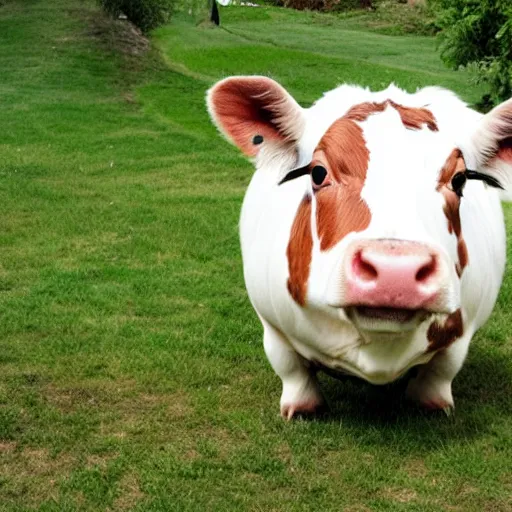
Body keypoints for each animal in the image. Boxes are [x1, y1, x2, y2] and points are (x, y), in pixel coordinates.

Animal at [205, 77, 512, 420]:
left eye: (459, 180)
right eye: (318, 172)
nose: (395, 272)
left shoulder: (465, 327)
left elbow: (442, 370)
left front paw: (432, 403)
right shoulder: (272, 322)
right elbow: (289, 366)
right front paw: (301, 405)